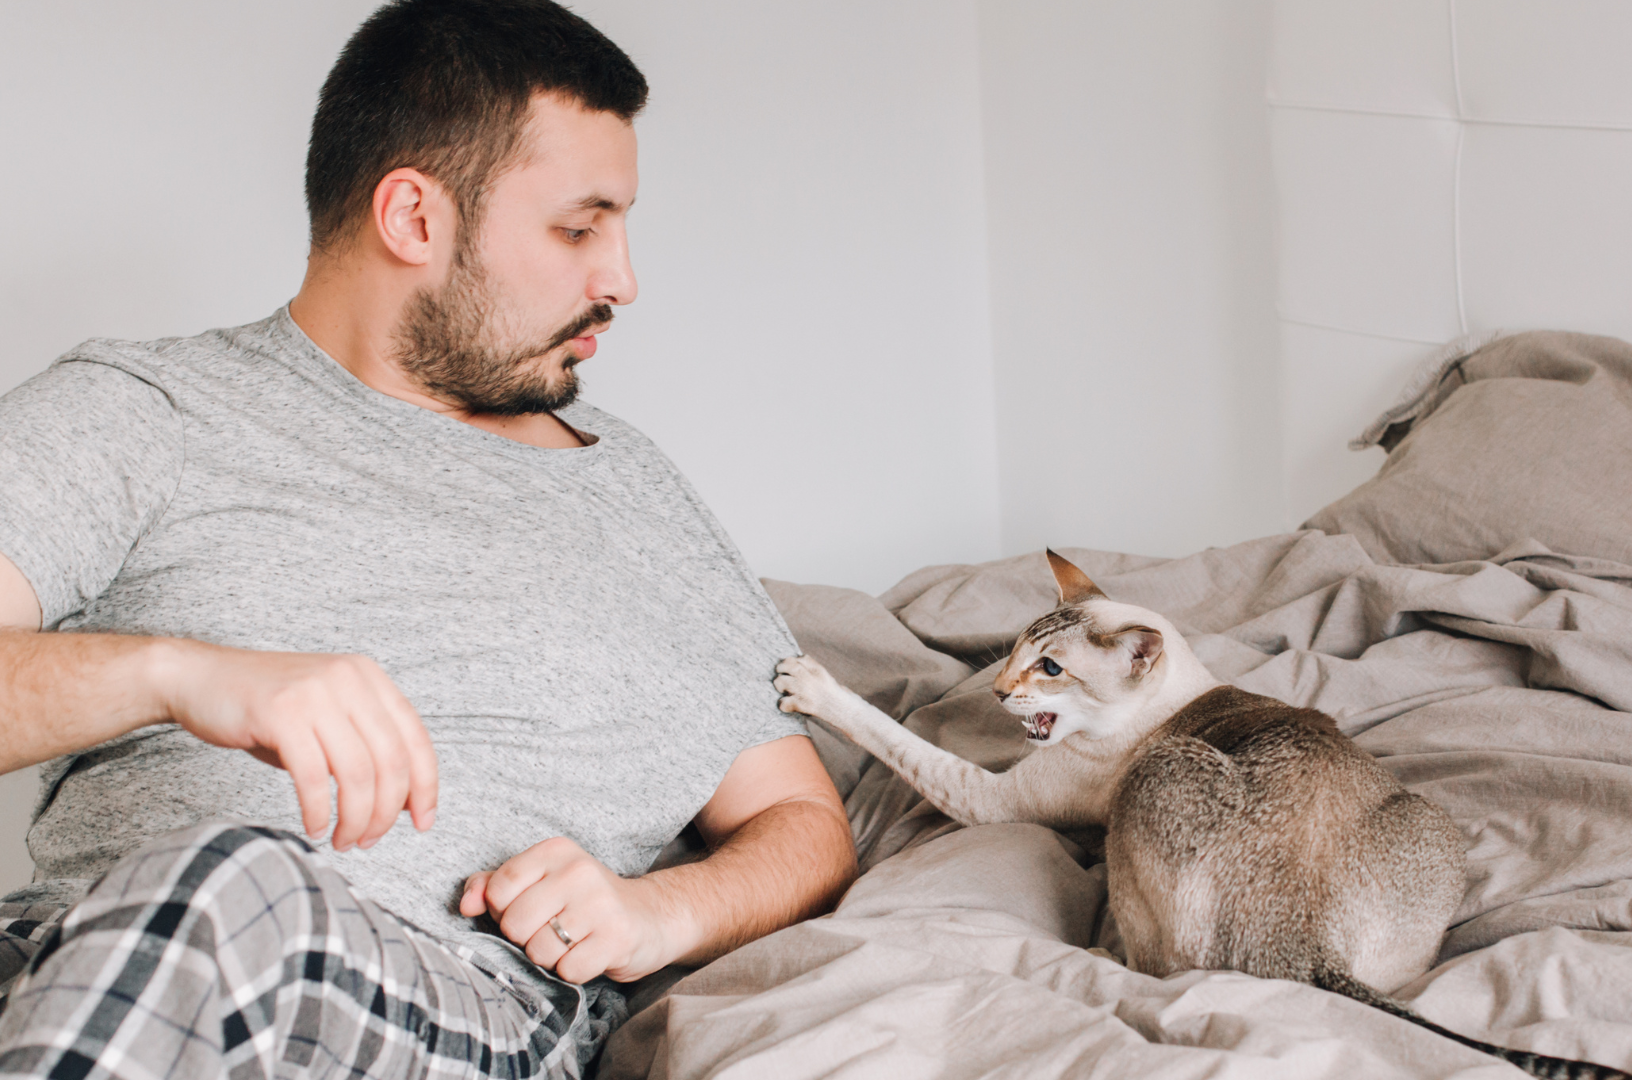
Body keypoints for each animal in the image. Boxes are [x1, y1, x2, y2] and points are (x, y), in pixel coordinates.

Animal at [773, 551, 1618, 1080]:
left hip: (1150, 789)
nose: (1000, 691)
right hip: (1427, 819)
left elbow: (897, 735)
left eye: (1052, 669)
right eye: (1014, 651)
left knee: (1153, 965)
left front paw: (809, 684)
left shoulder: (991, 795)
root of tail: (1301, 944)